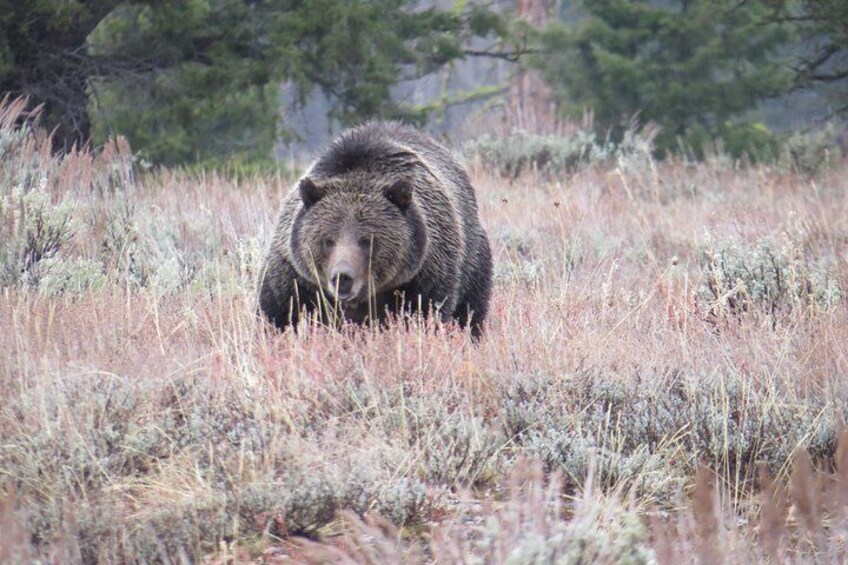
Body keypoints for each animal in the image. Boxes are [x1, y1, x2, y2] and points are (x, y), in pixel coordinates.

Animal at [260, 120, 496, 334]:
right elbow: (279, 313)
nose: (342, 278)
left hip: (473, 263)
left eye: (367, 240)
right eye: (328, 240)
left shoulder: (425, 275)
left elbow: (427, 313)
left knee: (470, 312)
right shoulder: (294, 274)